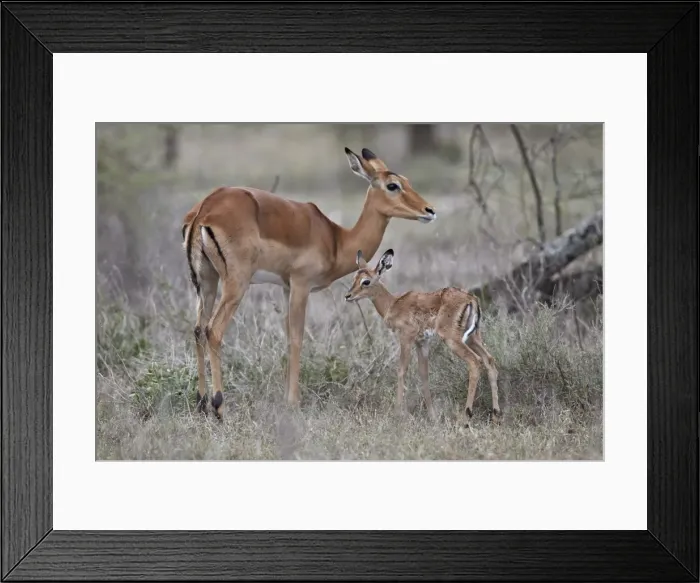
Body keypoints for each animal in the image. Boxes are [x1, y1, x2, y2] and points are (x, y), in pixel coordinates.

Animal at [181, 147, 437, 420]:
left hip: (207, 280)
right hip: (236, 284)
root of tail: (205, 209)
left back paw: (201, 403)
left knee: (198, 329)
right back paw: (219, 407)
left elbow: (287, 337)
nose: (429, 210)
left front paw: (286, 399)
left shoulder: (286, 286)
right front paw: (294, 403)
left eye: (407, 181)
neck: (336, 239)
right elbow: (297, 338)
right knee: (214, 330)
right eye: (393, 185)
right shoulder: (301, 285)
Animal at [344, 248, 502, 425]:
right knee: (489, 361)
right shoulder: (422, 342)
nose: (348, 296)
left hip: (453, 340)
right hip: (473, 338)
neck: (393, 304)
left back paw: (466, 416)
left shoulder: (406, 338)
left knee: (474, 362)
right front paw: (432, 415)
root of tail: (471, 299)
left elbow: (402, 370)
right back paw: (496, 415)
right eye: (354, 278)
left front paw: (398, 413)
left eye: (366, 281)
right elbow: (424, 374)